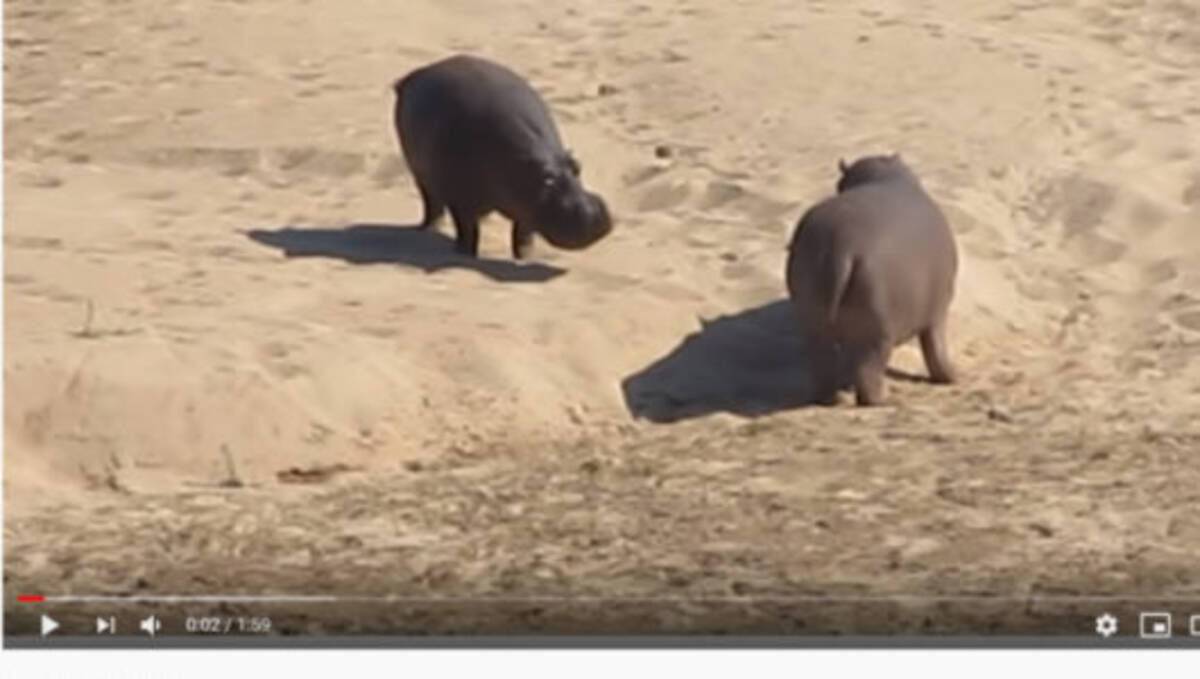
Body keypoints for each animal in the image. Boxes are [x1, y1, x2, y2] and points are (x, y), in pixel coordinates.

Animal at [393, 53, 614, 259]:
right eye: (548, 180)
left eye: (578, 166)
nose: (592, 213)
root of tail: (417, 74)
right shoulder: (460, 200)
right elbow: (468, 231)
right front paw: (465, 255)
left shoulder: (525, 206)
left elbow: (523, 232)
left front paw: (525, 257)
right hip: (420, 174)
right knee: (432, 204)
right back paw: (428, 229)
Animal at [782, 155, 960, 405]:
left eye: (839, 183)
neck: (884, 175)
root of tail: (841, 247)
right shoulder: (939, 308)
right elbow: (936, 347)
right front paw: (954, 376)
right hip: (877, 334)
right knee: (868, 373)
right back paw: (885, 398)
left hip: (814, 323)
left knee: (823, 363)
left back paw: (832, 399)